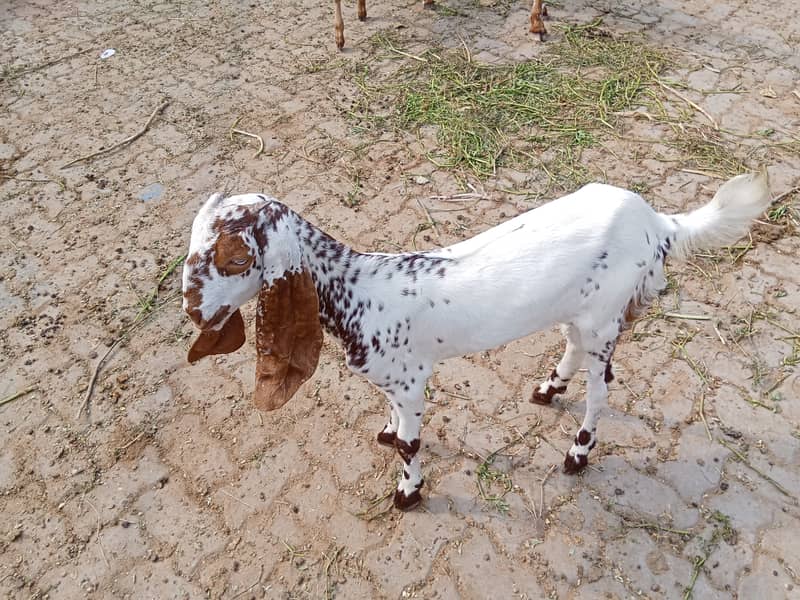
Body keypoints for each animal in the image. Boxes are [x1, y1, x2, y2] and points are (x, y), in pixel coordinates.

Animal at [182, 173, 770, 510]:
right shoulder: (394, 383)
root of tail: (657, 220)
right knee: (574, 349)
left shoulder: (412, 379)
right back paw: (548, 390)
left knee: (602, 387)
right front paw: (385, 433)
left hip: (605, 318)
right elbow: (394, 428)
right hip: (577, 312)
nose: (193, 309)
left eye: (235, 258)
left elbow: (411, 445)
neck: (359, 290)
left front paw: (408, 493)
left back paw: (577, 453)